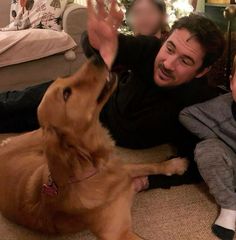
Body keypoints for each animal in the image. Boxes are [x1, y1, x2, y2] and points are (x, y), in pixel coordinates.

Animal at [0, 57, 188, 238]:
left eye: (64, 79)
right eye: (66, 93)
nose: (97, 56)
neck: (90, 166)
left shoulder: (122, 168)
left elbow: (148, 165)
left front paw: (174, 165)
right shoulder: (117, 233)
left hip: (36, 135)